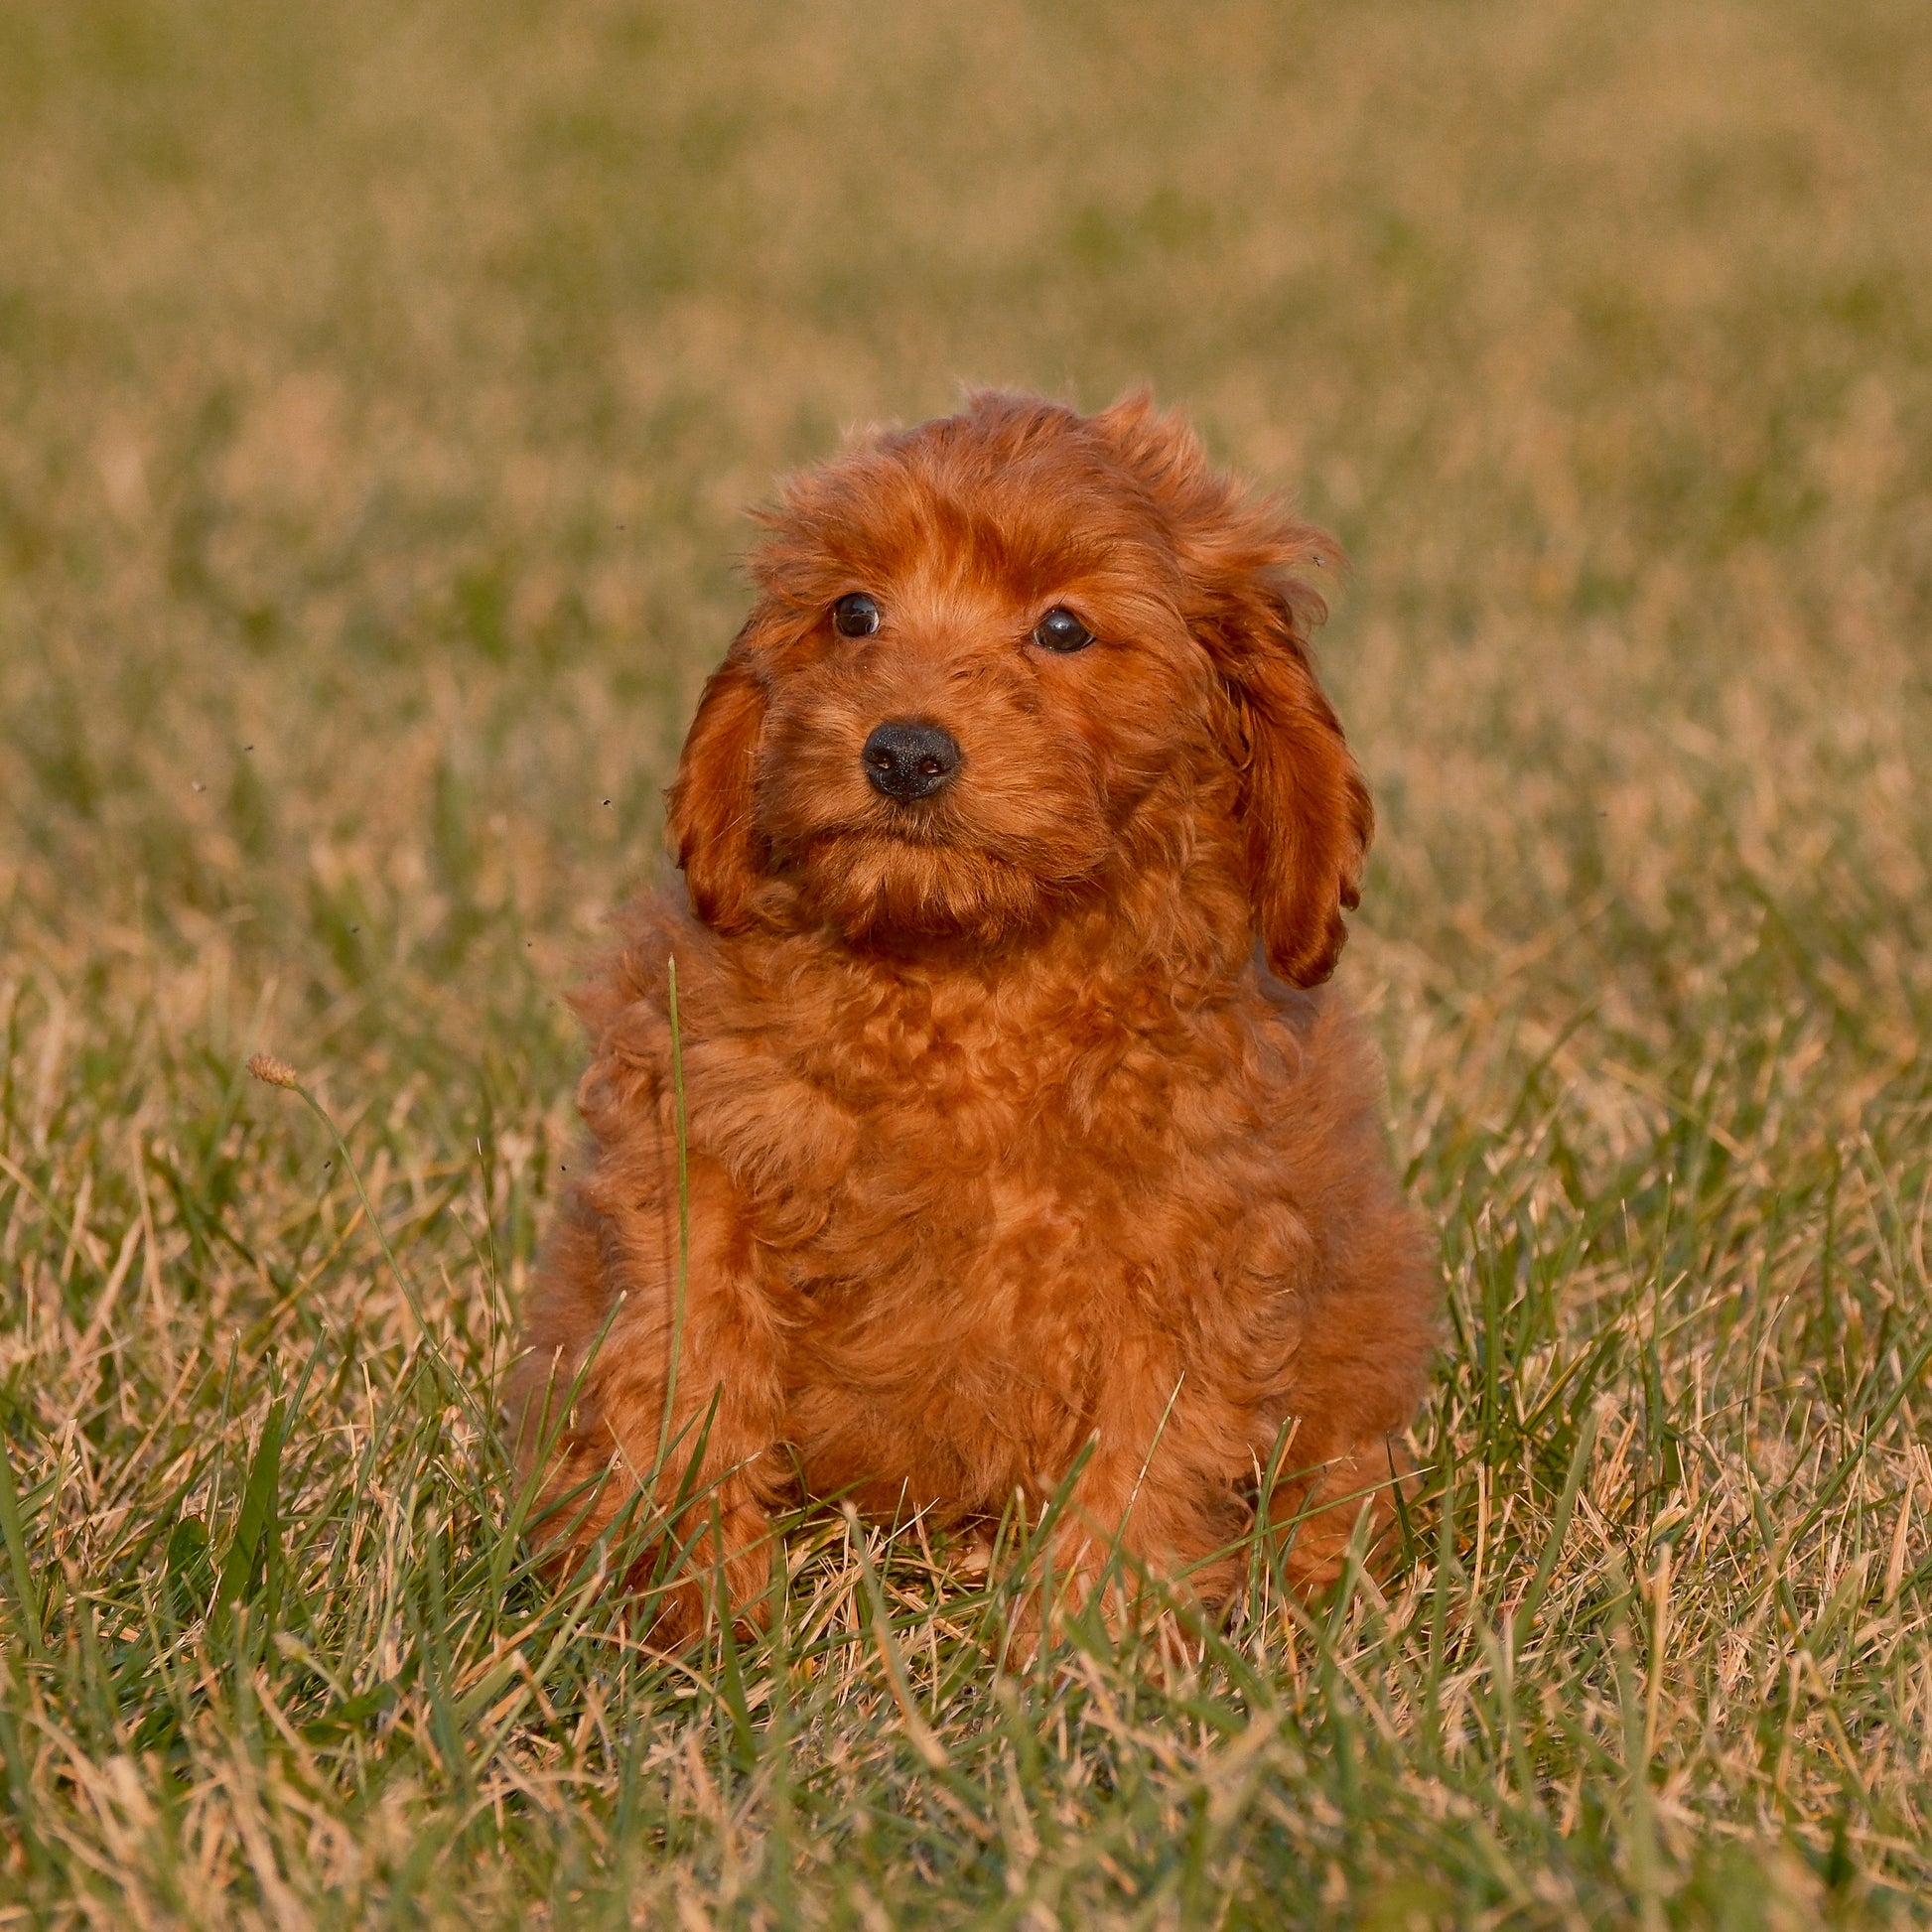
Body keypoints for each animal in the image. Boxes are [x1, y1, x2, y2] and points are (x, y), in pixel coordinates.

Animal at [505, 395, 1445, 1645]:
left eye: (1061, 627)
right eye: (853, 612)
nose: (903, 750)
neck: (966, 974)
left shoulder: (1197, 1252)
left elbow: (1146, 1457)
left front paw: (1081, 1650)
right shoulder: (690, 1161)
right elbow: (684, 1371)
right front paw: (693, 1610)